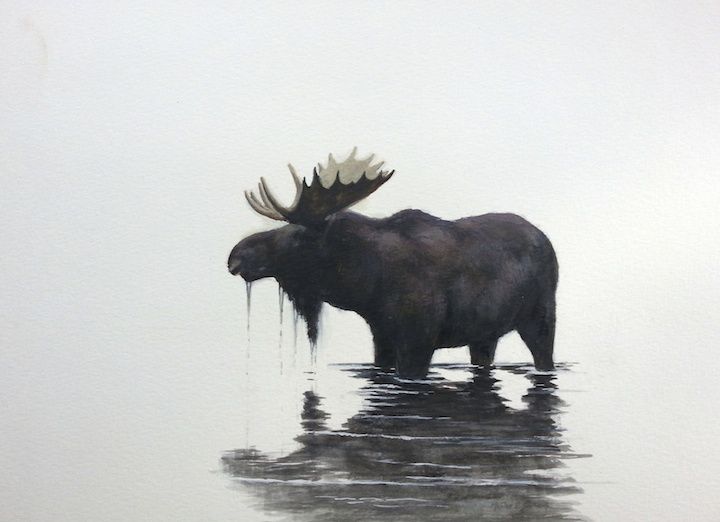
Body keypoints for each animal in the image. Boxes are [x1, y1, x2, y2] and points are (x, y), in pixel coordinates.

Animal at [228, 148, 558, 378]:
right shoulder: (382, 335)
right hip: (484, 334)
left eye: (297, 235)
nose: (236, 255)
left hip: (540, 316)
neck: (366, 283)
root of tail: (546, 239)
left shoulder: (419, 339)